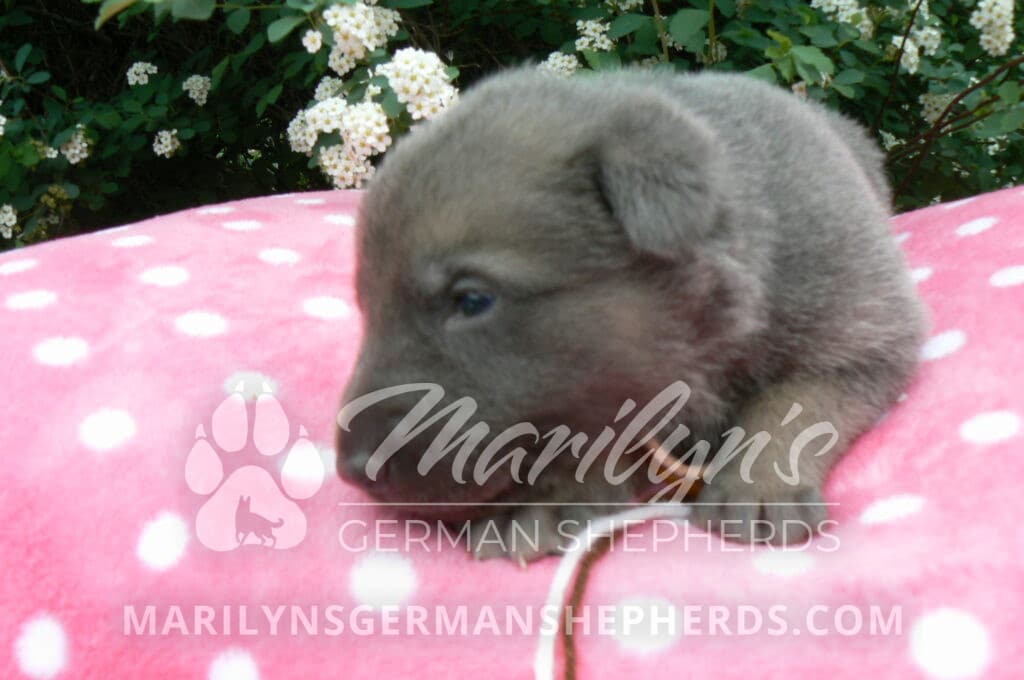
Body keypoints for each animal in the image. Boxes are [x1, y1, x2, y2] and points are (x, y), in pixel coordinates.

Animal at [334, 68, 925, 562]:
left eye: (472, 301)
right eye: (367, 304)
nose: (354, 471)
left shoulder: (865, 332)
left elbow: (793, 406)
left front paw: (759, 486)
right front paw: (553, 496)